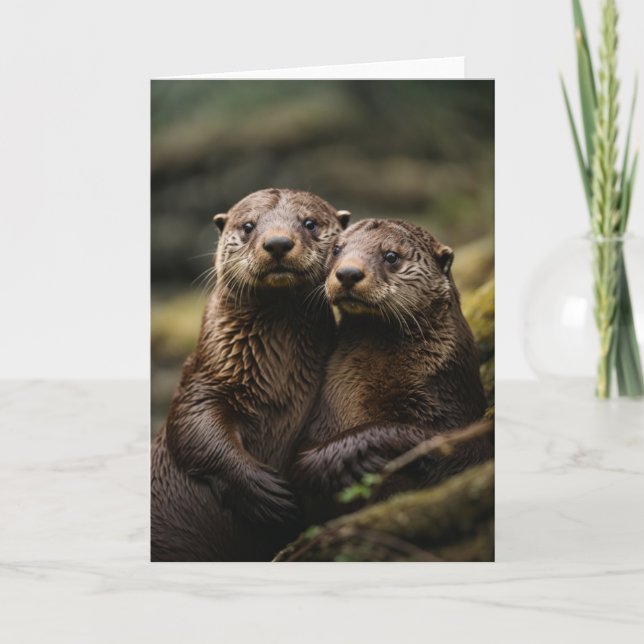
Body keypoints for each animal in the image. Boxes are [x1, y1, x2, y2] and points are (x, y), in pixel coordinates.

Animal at [151, 188, 350, 561]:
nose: (278, 243)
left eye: (310, 223)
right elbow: (192, 427)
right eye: (247, 226)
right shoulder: (203, 381)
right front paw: (265, 490)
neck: (278, 385)